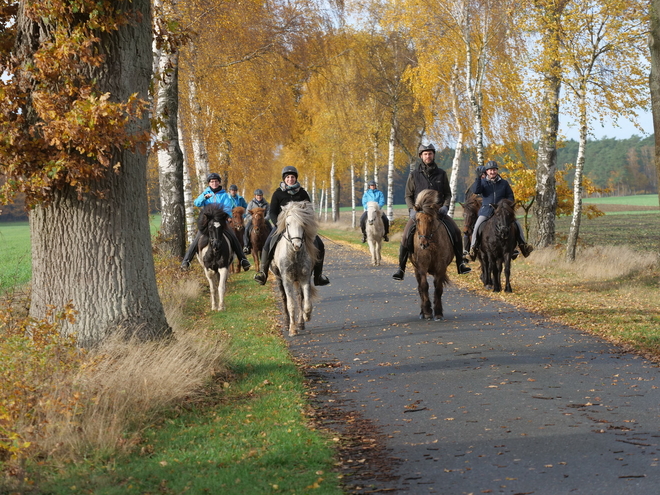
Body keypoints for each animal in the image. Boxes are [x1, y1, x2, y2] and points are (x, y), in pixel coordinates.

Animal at [270, 202, 318, 338]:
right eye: (288, 224)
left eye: (303, 223)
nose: (297, 245)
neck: (294, 255)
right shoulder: (287, 279)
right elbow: (290, 304)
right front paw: (292, 329)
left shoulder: (305, 278)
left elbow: (306, 302)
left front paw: (307, 317)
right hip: (279, 278)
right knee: (284, 298)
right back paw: (287, 324)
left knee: (299, 298)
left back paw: (301, 323)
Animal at [410, 190, 456, 322]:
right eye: (418, 220)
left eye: (431, 220)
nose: (423, 244)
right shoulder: (421, 267)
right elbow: (424, 286)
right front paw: (427, 311)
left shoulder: (440, 268)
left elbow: (438, 288)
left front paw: (438, 313)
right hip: (415, 269)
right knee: (420, 288)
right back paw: (422, 312)